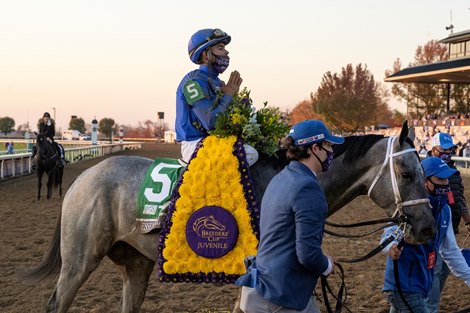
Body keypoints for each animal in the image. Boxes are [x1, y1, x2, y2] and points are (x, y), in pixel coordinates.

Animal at [21, 120, 434, 310]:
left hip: (136, 262)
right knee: (57, 302)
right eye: (407, 174)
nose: (428, 227)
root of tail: (83, 178)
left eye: (424, 170)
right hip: (79, 261)